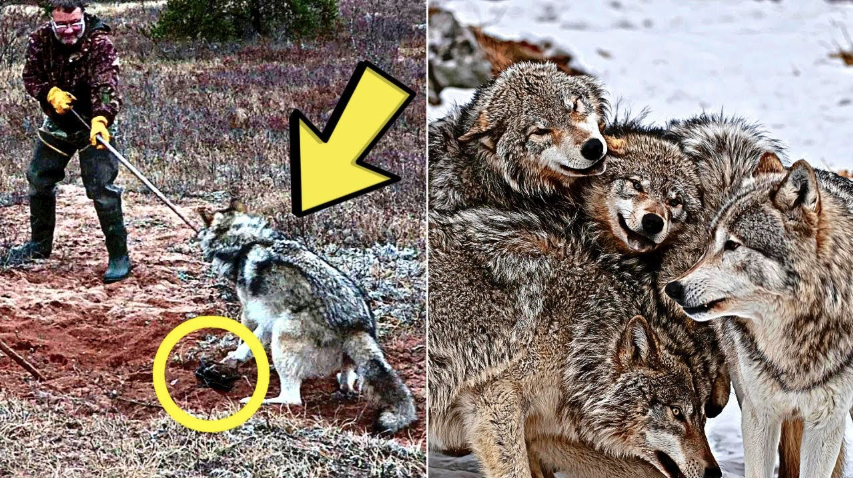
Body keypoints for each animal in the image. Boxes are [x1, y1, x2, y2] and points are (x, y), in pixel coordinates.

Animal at [197, 201, 416, 433]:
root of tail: (356, 325)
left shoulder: (250, 312)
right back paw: (345, 382)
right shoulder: (268, 317)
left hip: (282, 335)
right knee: (347, 379)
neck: (247, 241)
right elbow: (251, 343)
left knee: (292, 399)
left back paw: (262, 402)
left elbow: (245, 338)